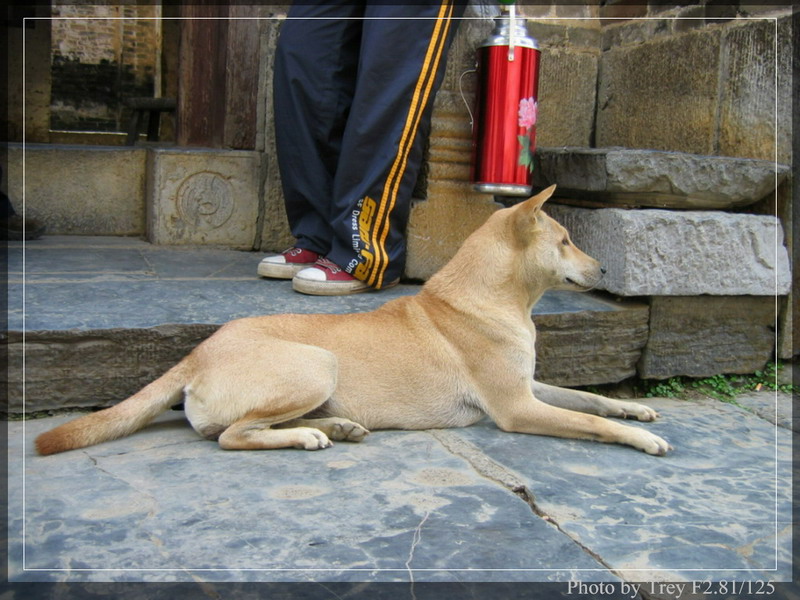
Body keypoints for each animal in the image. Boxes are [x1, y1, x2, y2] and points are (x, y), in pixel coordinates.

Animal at [35, 186, 671, 457]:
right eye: (564, 241)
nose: (606, 267)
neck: (494, 296)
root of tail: (196, 353)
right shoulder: (517, 407)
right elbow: (589, 423)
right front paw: (642, 438)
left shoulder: (530, 387)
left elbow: (587, 399)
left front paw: (634, 409)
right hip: (317, 365)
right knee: (233, 436)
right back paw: (309, 436)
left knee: (240, 428)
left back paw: (337, 426)